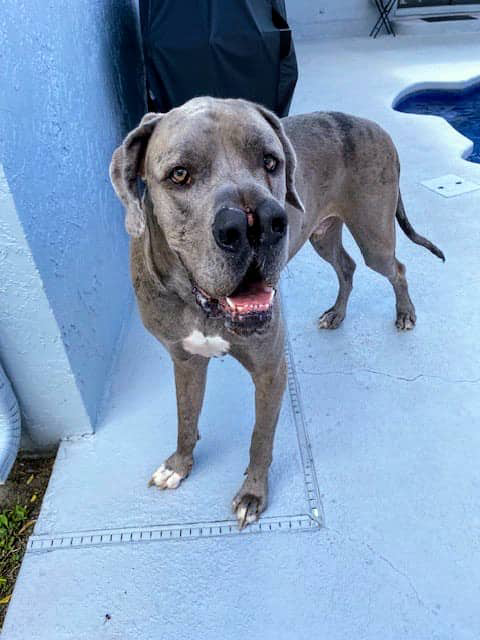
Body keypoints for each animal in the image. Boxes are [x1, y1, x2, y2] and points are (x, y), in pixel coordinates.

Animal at [110, 97, 444, 529]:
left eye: (271, 162)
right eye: (179, 174)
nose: (258, 224)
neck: (199, 303)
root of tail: (374, 125)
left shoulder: (270, 369)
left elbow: (260, 437)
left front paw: (252, 495)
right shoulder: (184, 360)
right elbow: (186, 417)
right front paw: (179, 465)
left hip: (375, 235)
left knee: (396, 268)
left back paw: (404, 313)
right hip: (322, 233)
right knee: (347, 267)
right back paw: (336, 314)